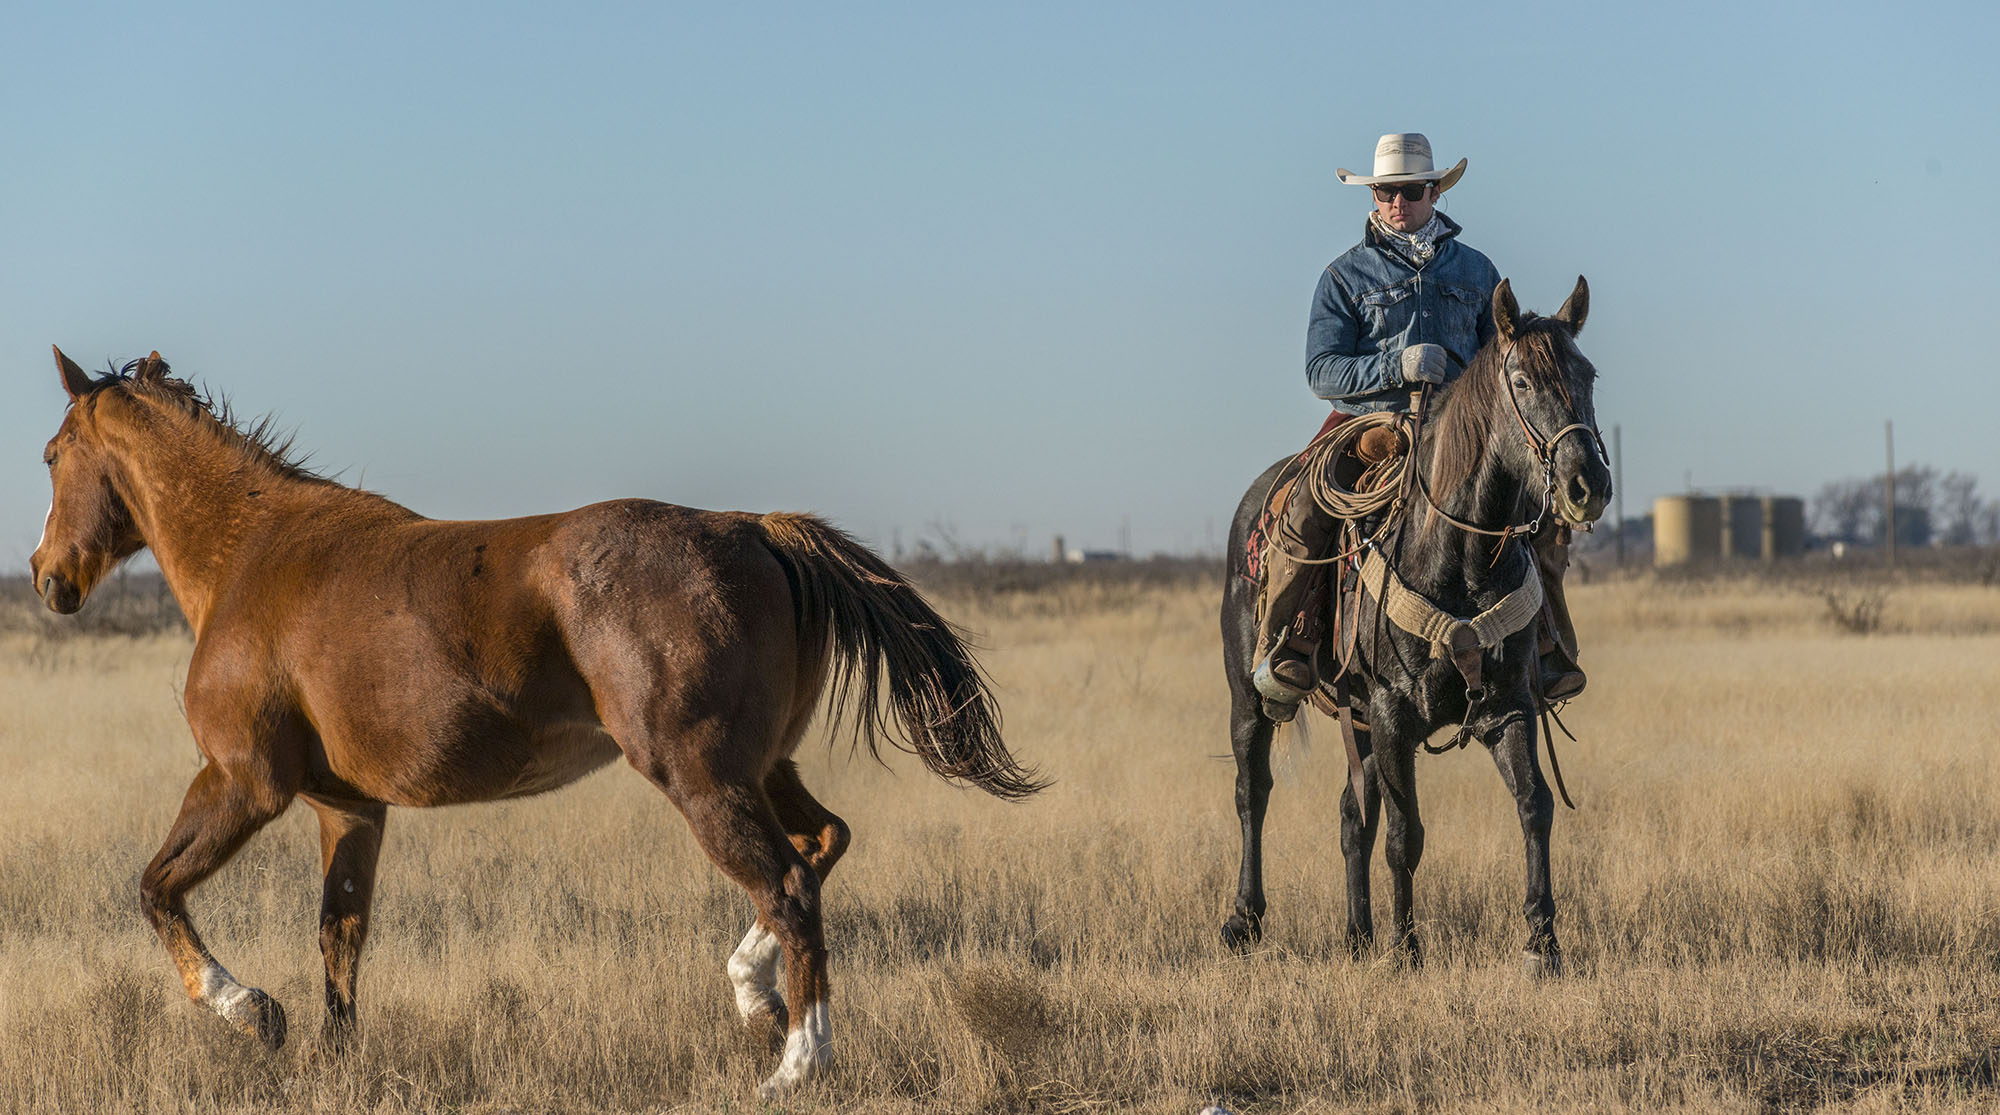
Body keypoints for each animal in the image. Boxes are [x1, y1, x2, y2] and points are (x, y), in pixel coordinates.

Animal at [27, 351, 1048, 1103]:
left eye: (47, 454)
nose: (47, 577)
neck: (250, 554)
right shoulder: (346, 807)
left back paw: (797, 1064)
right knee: (822, 842)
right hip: (763, 768)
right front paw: (333, 1060)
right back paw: (750, 994)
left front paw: (253, 1013)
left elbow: (158, 889)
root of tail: (756, 529)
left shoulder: (243, 781)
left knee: (790, 882)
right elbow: (340, 937)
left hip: (700, 776)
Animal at [1216, 277, 1608, 979]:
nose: (1586, 484)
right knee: (1252, 792)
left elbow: (1534, 808)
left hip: (1358, 722)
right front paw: (1405, 948)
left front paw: (1542, 944)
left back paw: (1356, 934)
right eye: (1522, 379)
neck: (1459, 558)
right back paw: (1245, 919)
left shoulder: (1507, 708)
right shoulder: (1393, 713)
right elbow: (1405, 833)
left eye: (1587, 374)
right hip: (1251, 698)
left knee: (1352, 816)